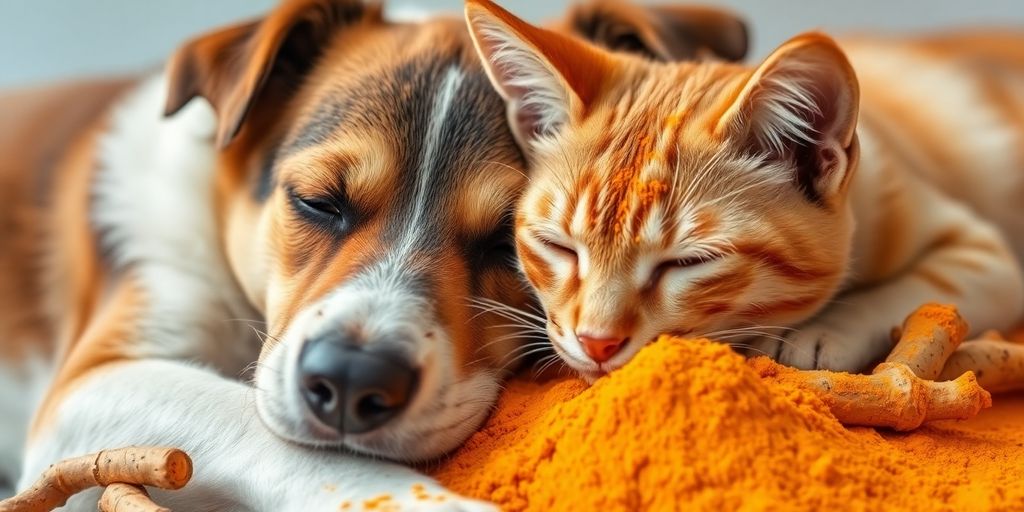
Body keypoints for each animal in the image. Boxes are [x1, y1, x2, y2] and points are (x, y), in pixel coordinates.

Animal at [464, 0, 1024, 378]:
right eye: (557, 246)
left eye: (688, 262)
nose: (597, 343)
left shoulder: (989, 258)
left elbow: (916, 290)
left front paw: (822, 330)